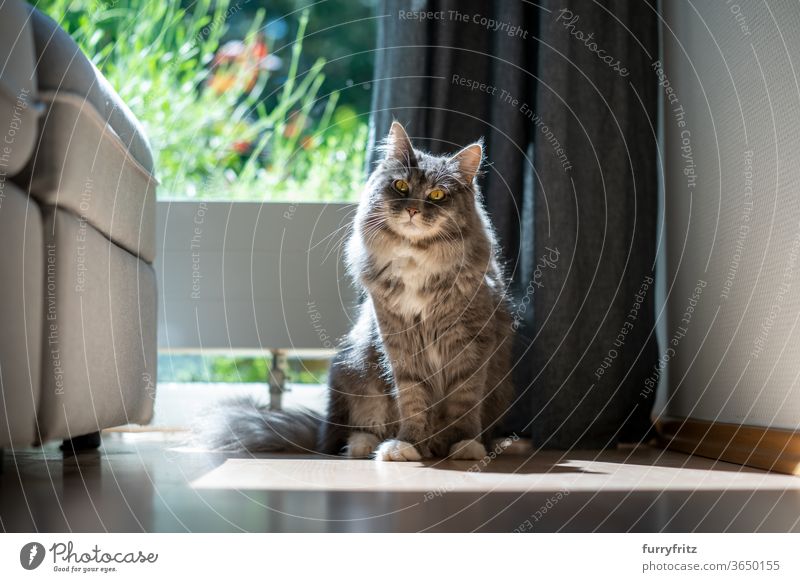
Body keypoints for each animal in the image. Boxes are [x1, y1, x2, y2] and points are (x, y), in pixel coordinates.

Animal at [197, 122, 516, 460]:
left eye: (437, 194)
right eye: (401, 186)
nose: (413, 210)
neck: (415, 258)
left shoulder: (470, 344)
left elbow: (464, 400)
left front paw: (464, 445)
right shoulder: (399, 341)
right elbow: (412, 400)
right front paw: (408, 445)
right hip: (355, 371)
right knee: (345, 435)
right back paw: (369, 445)